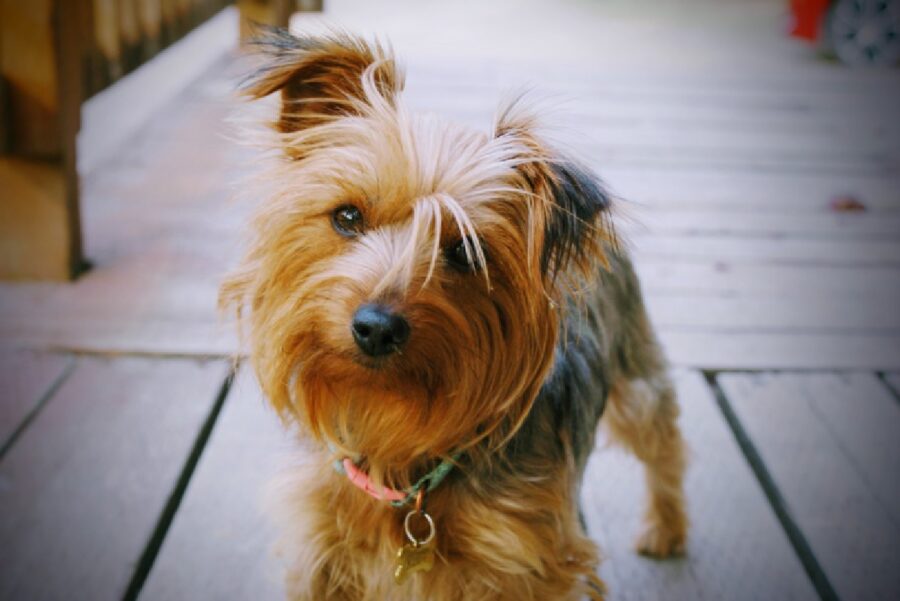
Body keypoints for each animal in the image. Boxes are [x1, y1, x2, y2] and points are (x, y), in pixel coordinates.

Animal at [221, 29, 684, 600]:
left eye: (466, 251)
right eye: (347, 216)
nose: (376, 328)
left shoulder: (524, 559)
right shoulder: (321, 546)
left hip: (633, 363)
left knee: (662, 438)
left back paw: (665, 527)